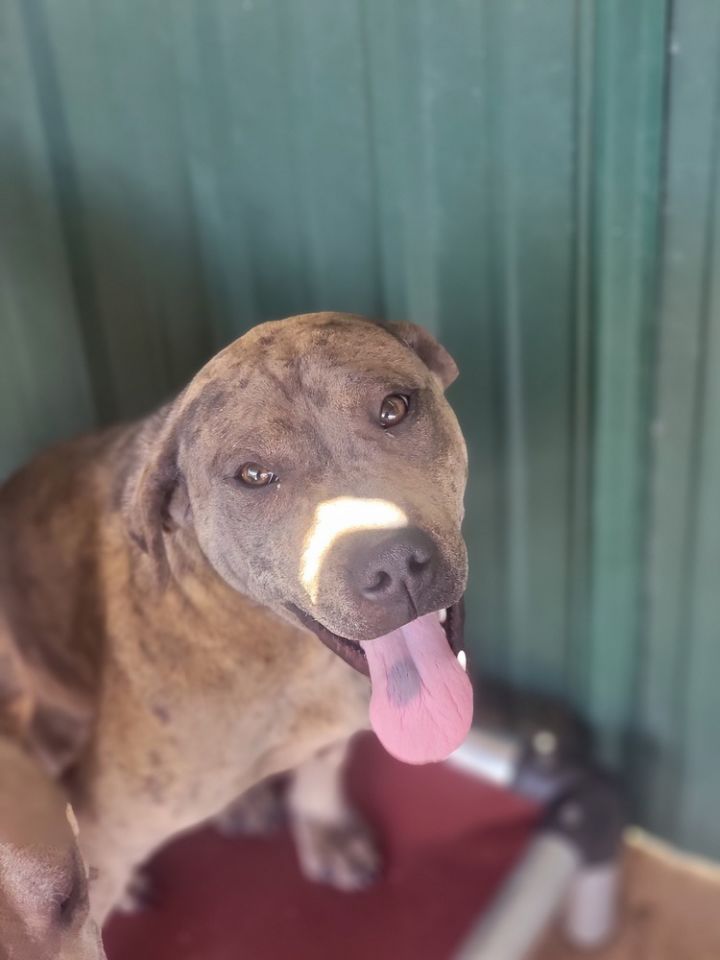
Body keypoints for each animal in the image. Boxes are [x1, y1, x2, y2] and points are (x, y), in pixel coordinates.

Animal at [0, 312, 472, 920]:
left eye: (394, 407)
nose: (393, 564)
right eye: (252, 474)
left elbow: (321, 769)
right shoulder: (106, 840)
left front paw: (323, 828)